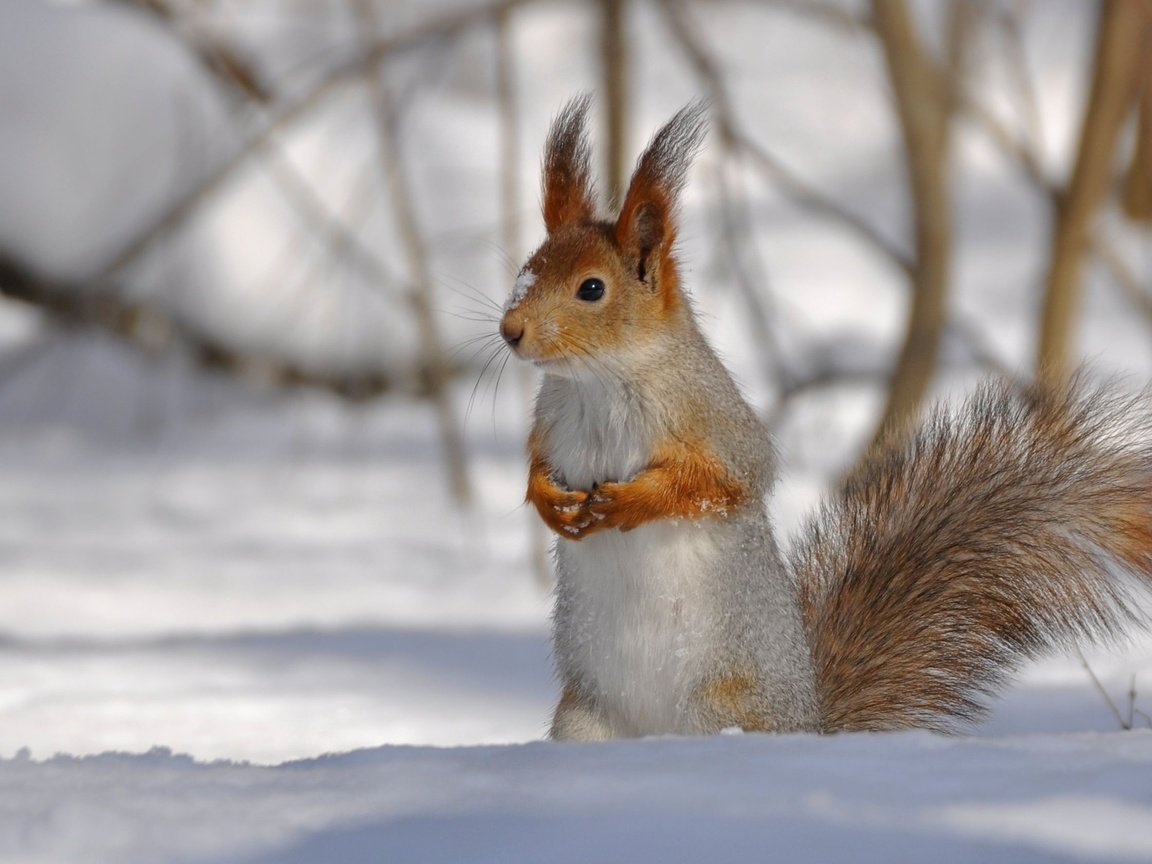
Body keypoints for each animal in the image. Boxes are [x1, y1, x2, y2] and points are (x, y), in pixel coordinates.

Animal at [497, 97, 1152, 741]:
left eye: (591, 289)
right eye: (527, 268)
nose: (510, 330)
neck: (598, 381)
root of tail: (808, 722)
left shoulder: (714, 419)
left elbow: (724, 481)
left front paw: (626, 503)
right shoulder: (550, 419)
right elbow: (536, 465)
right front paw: (549, 501)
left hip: (718, 707)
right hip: (585, 719)